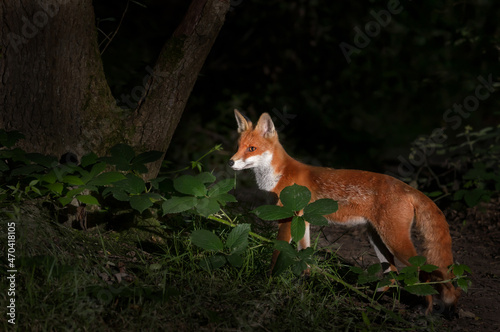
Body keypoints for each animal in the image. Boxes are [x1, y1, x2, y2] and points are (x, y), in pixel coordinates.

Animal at [228, 109, 460, 314]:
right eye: (238, 147)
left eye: (251, 148)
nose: (230, 161)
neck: (279, 175)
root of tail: (408, 187)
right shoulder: (302, 221)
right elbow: (304, 254)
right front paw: (305, 282)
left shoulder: (287, 219)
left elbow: (277, 254)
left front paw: (269, 280)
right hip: (377, 240)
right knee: (393, 274)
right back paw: (374, 298)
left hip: (395, 241)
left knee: (424, 271)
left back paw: (426, 309)